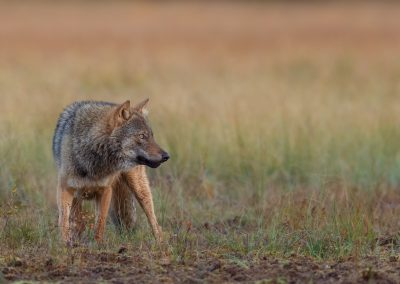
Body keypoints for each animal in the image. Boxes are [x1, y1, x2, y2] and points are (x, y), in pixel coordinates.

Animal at [52, 98, 169, 243]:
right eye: (142, 136)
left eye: (152, 136)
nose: (166, 156)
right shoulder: (66, 190)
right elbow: (64, 220)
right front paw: (65, 244)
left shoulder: (105, 190)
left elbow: (100, 224)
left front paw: (97, 244)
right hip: (78, 198)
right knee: (76, 220)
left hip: (140, 190)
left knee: (154, 222)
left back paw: (161, 244)